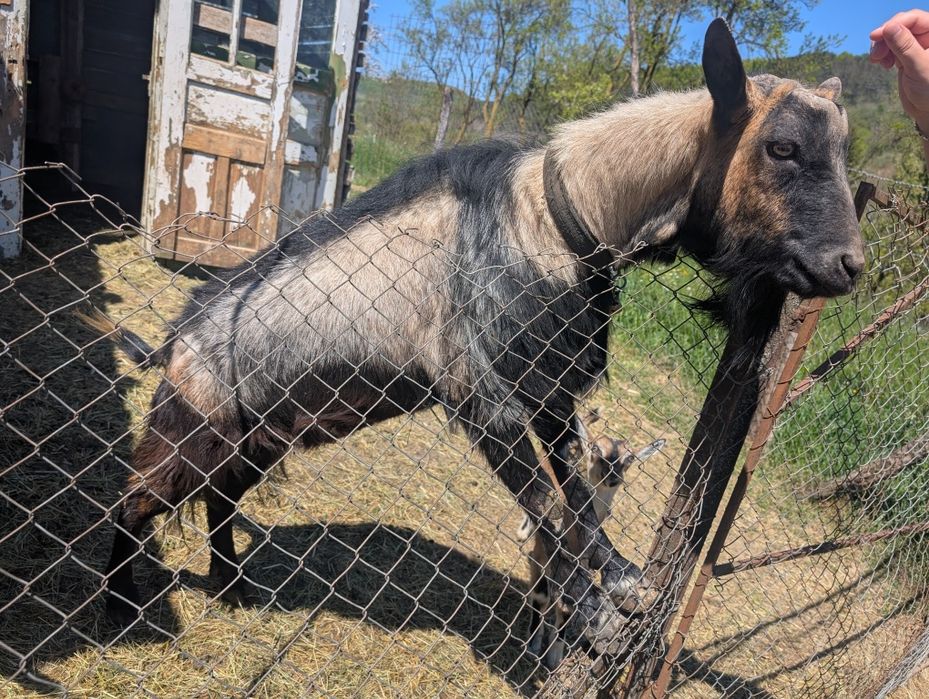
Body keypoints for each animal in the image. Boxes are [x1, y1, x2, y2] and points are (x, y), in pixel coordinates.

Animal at [98, 19, 863, 657]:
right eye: (782, 146)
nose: (848, 265)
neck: (557, 215)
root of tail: (177, 339)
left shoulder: (552, 392)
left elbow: (577, 500)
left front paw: (620, 579)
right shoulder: (486, 400)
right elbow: (548, 512)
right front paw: (596, 620)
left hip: (259, 438)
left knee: (219, 500)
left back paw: (232, 586)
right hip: (191, 428)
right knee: (134, 498)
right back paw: (120, 606)